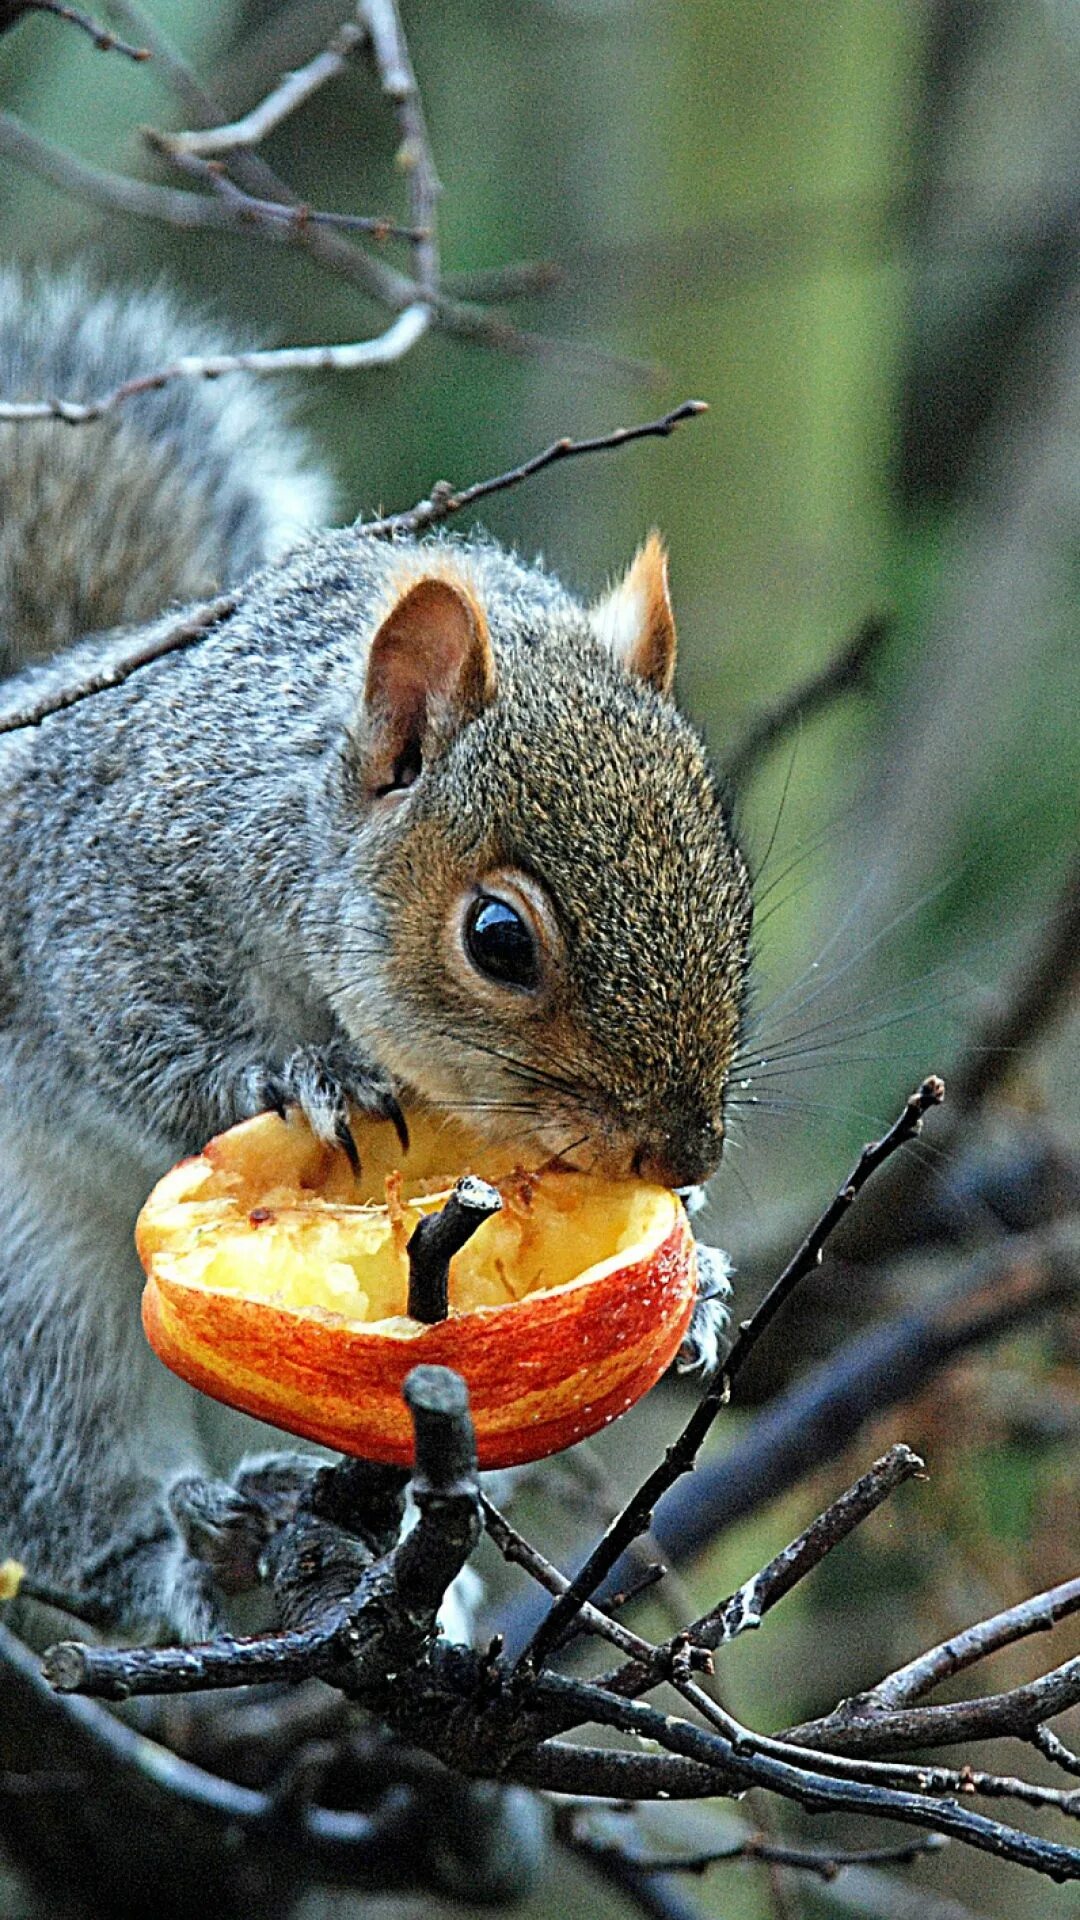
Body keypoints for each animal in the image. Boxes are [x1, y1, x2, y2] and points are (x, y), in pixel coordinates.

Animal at [0, 274, 749, 1635]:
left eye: (728, 872)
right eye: (499, 941)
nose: (684, 1155)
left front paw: (706, 1273)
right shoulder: (99, 912)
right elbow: (132, 1048)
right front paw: (293, 1082)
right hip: (30, 1297)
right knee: (70, 1494)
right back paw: (194, 1554)